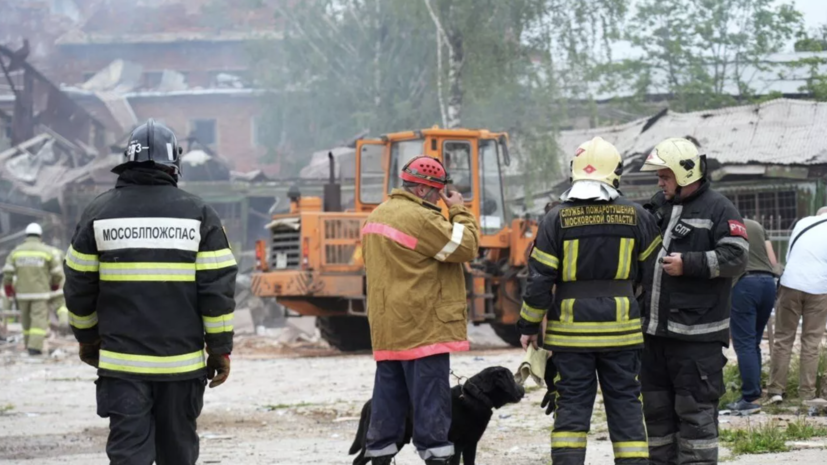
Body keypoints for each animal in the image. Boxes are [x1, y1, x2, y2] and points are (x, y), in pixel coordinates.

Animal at [350, 366, 524, 464]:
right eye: (511, 378)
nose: (523, 390)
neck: (476, 396)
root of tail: (369, 402)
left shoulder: (471, 444)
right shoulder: (456, 445)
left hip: (397, 442)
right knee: (358, 460)